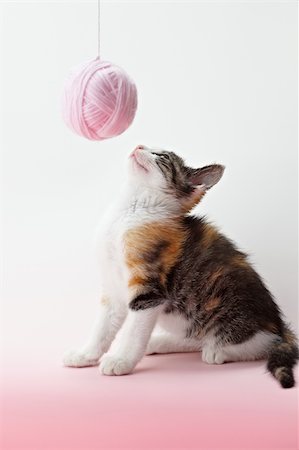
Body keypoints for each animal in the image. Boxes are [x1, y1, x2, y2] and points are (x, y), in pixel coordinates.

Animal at [64, 146, 298, 388]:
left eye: (162, 157)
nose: (139, 146)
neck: (129, 211)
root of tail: (278, 323)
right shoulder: (112, 287)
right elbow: (102, 327)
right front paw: (85, 354)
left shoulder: (149, 288)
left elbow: (134, 332)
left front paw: (121, 360)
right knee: (195, 335)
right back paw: (160, 342)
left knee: (260, 343)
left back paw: (219, 351)